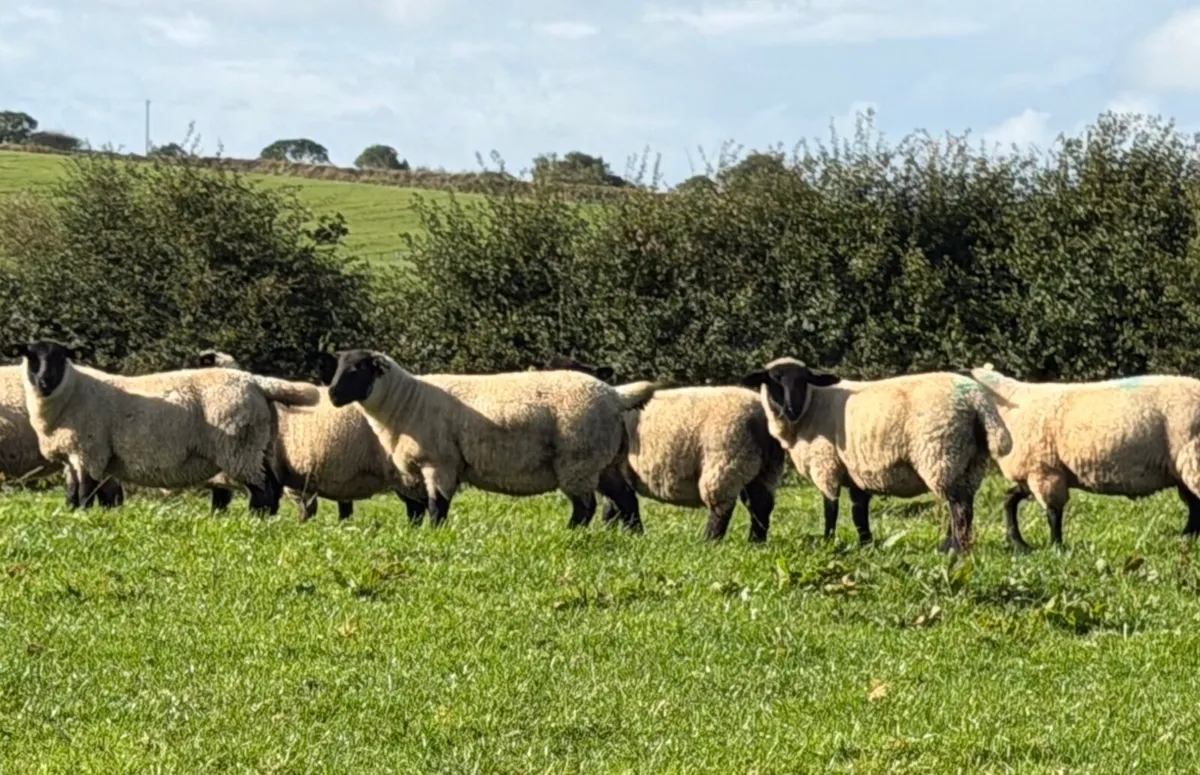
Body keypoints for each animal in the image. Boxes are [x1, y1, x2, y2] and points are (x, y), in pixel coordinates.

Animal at [319, 349, 661, 530]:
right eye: (337, 368)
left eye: (357, 369)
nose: (333, 395)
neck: (406, 401)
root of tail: (614, 394)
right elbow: (421, 505)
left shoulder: (440, 463)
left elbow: (437, 505)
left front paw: (436, 532)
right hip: (603, 463)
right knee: (626, 499)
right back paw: (634, 536)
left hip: (577, 461)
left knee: (586, 506)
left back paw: (572, 532)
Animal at [598, 385, 787, 542]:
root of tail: (762, 417)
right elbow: (612, 506)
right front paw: (610, 532)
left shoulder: (611, 471)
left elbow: (625, 502)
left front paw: (635, 535)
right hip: (766, 469)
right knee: (761, 505)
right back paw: (756, 543)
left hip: (725, 462)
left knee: (722, 508)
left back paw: (710, 543)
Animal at [741, 357, 1012, 552]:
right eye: (774, 380)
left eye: (803, 380)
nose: (790, 408)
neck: (810, 406)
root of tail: (977, 399)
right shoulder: (855, 472)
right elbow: (858, 513)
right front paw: (866, 544)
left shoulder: (825, 465)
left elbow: (831, 509)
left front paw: (828, 542)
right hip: (971, 461)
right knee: (965, 504)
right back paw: (951, 546)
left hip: (941, 456)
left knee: (959, 508)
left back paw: (956, 550)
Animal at [959, 364, 1200, 549]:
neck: (1009, 408)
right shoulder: (1033, 472)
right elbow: (1010, 499)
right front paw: (1019, 543)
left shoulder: (1046, 472)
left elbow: (1053, 514)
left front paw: (1057, 548)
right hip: (1183, 468)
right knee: (1195, 506)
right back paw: (1186, 539)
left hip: (1192, 457)